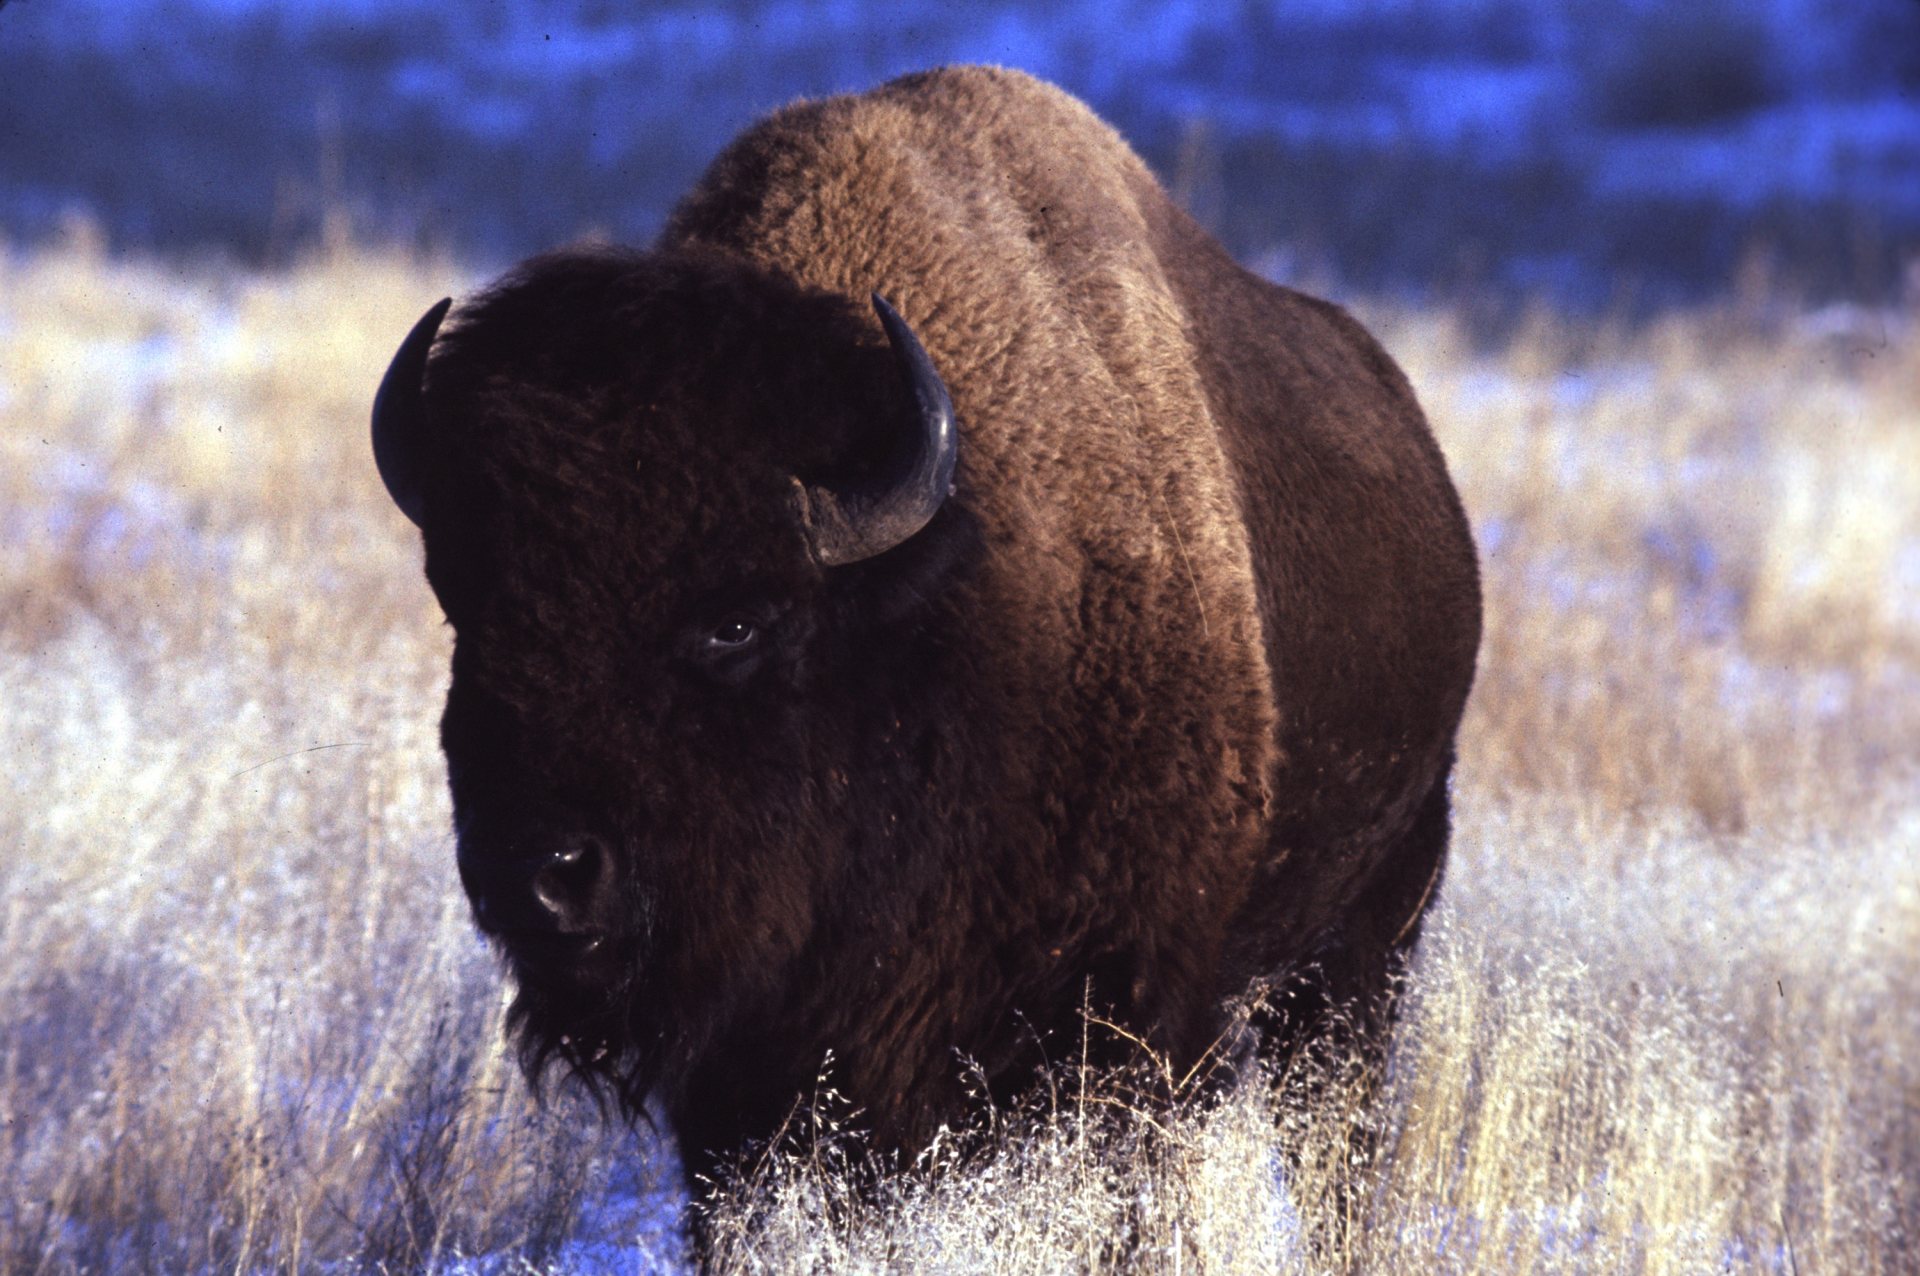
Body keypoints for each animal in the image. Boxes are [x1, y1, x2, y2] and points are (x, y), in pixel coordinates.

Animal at [370, 64, 1482, 1197]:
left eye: (737, 622)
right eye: (469, 607)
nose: (541, 875)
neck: (941, 605)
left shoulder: (1123, 1019)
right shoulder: (753, 1081)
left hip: (1366, 941)